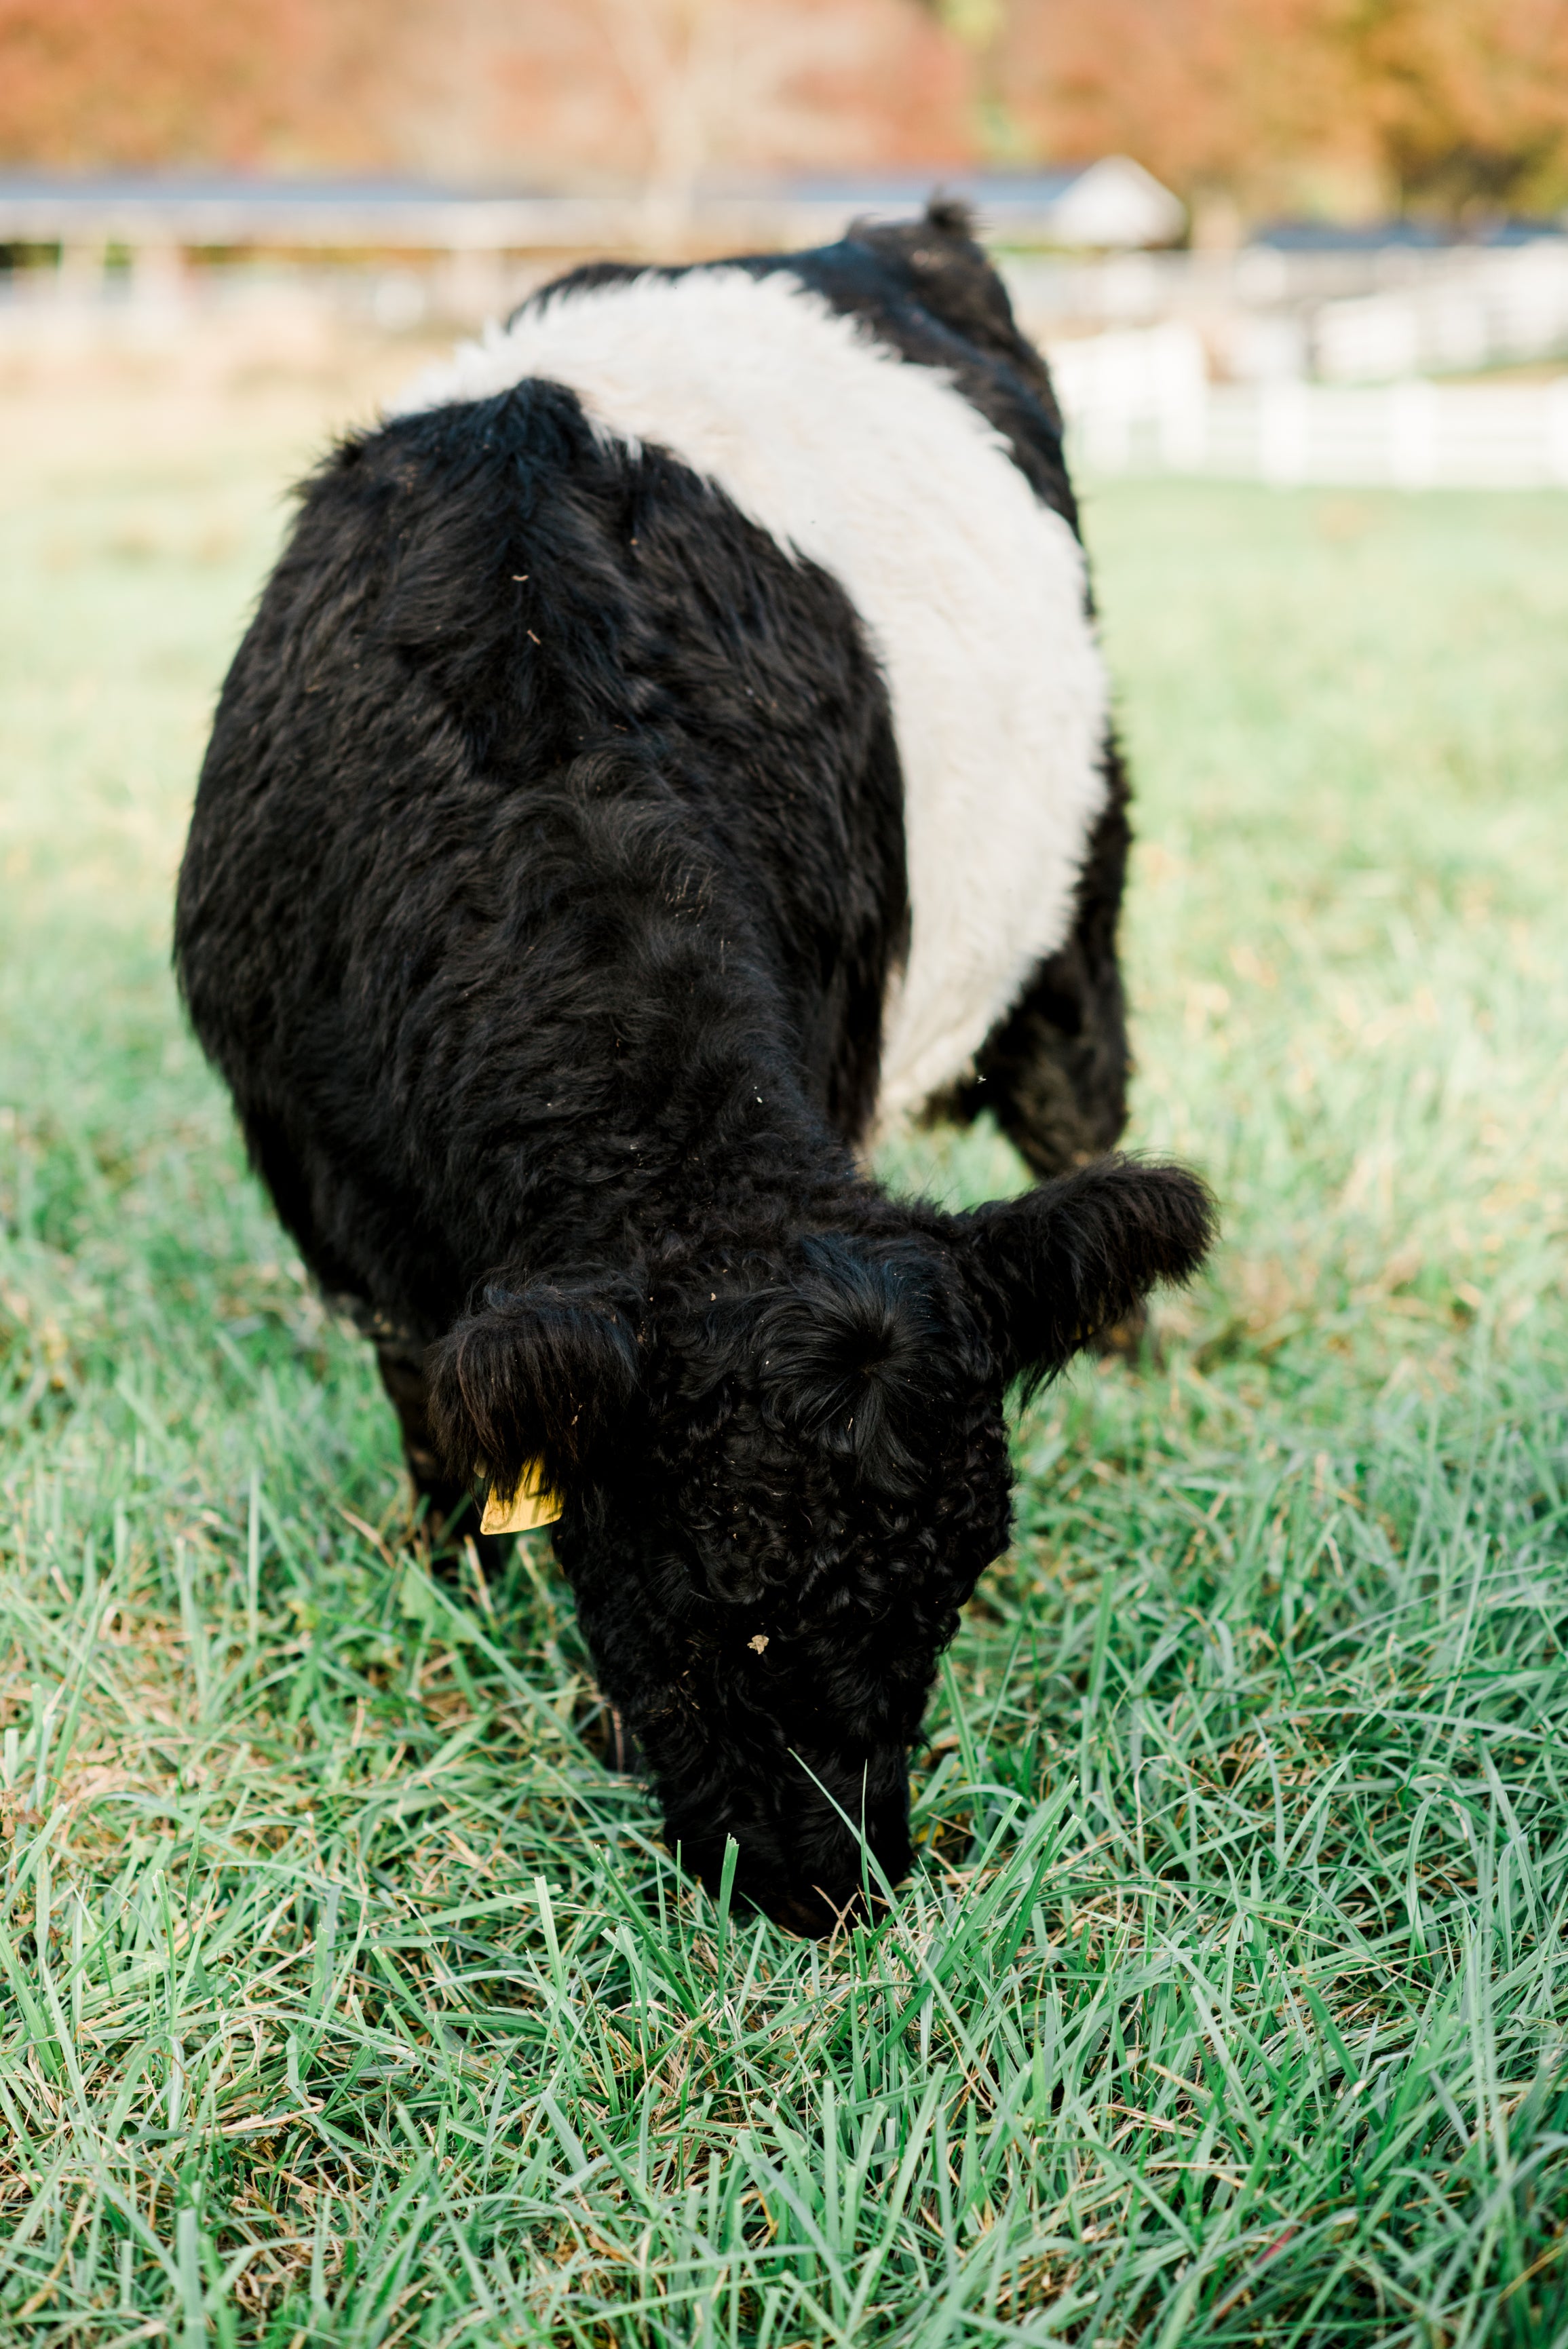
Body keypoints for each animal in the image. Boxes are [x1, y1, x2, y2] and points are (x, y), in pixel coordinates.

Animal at [174, 200, 1213, 1937]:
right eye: (712, 1602)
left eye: (957, 1589)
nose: (827, 1884)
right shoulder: (334, 1192)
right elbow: (446, 1440)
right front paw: (460, 1596)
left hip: (1084, 885)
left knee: (1079, 1109)